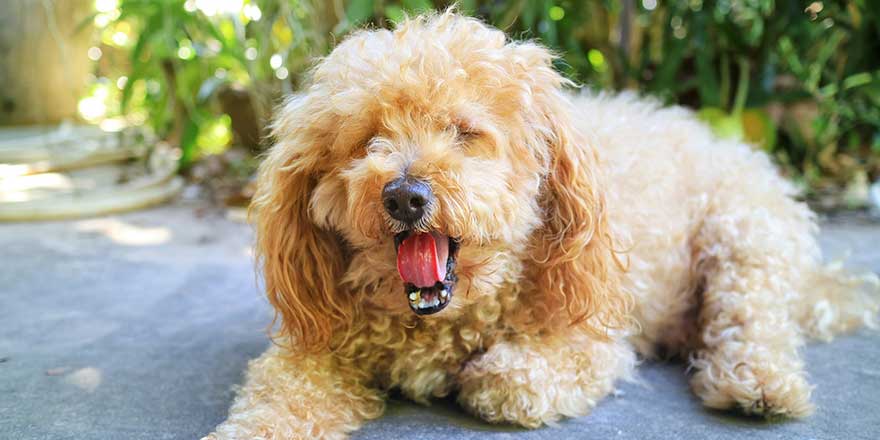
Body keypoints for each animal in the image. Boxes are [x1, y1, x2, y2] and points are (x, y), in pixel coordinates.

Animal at [205, 11, 872, 440]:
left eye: (465, 132)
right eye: (367, 139)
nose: (404, 195)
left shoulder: (594, 341)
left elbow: (507, 380)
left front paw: (484, 375)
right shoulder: (315, 350)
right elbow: (276, 399)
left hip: (746, 233)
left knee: (753, 319)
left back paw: (757, 384)